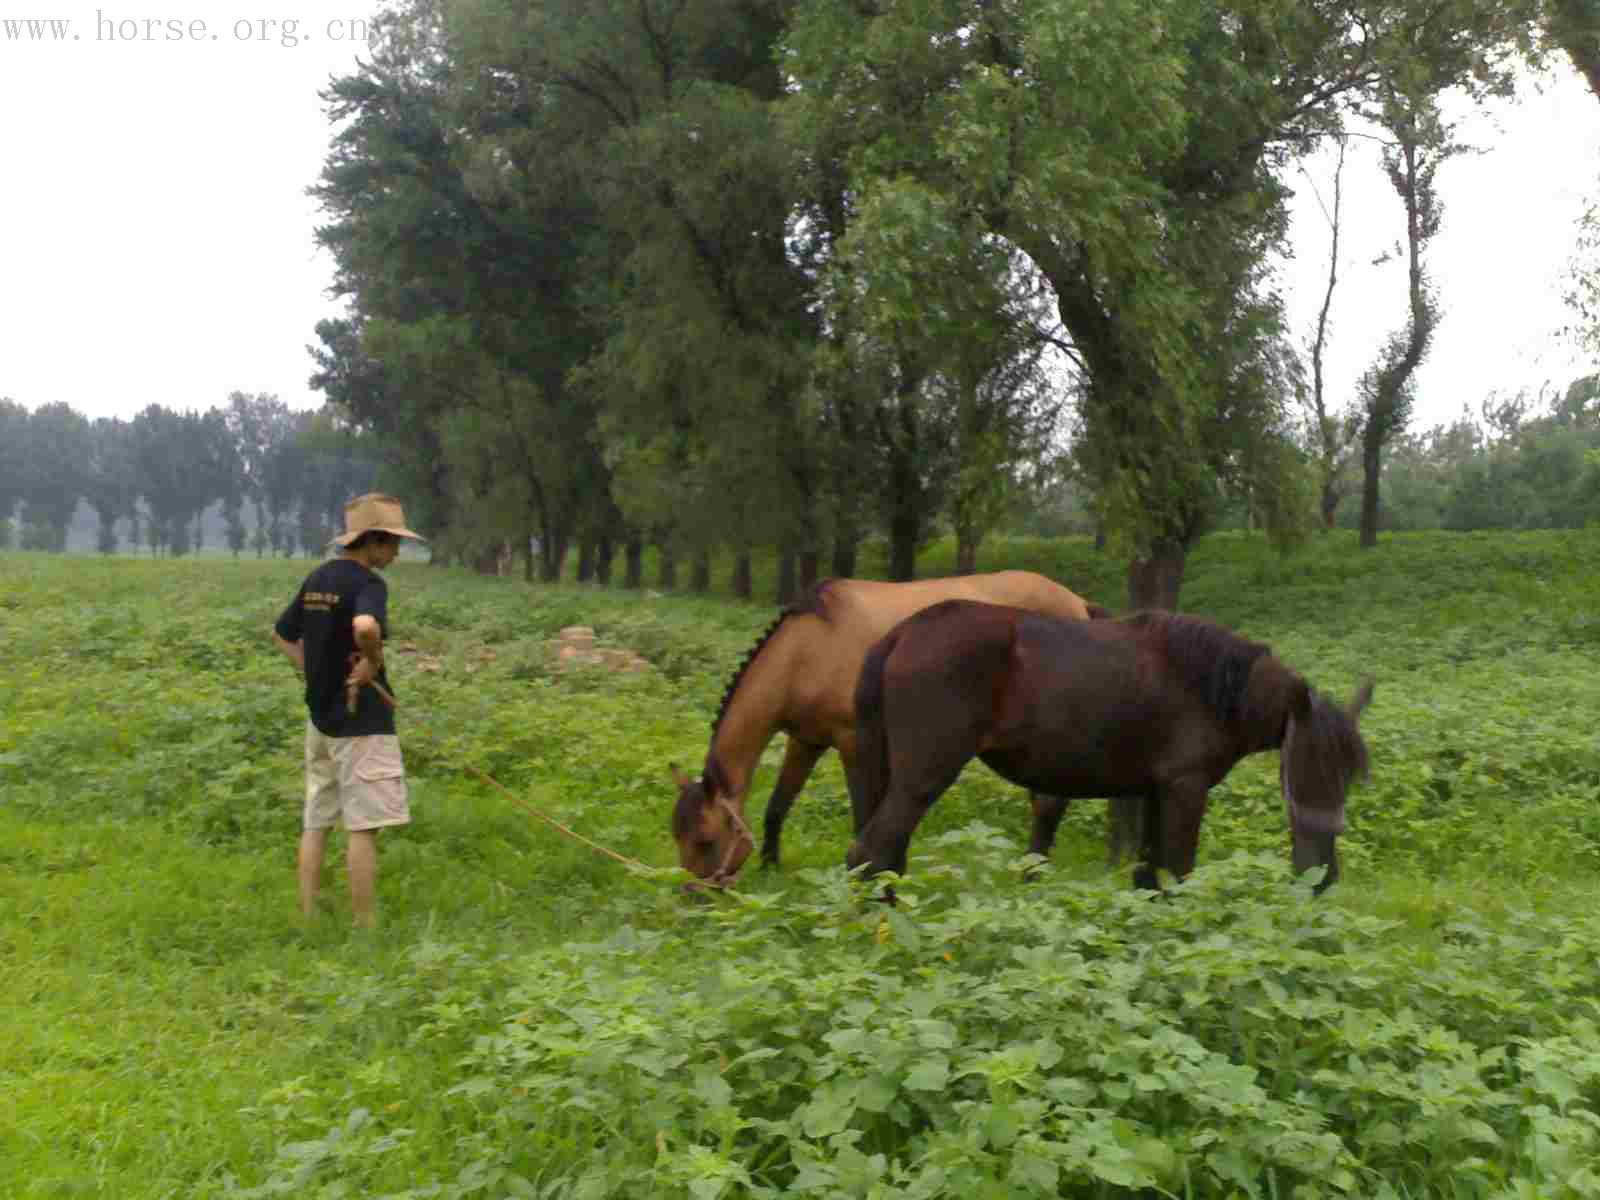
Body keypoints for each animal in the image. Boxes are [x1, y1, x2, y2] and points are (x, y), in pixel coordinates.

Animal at [668, 572, 1107, 883]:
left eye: (706, 840)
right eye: (677, 836)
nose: (694, 896)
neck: (807, 650)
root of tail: (1078, 603)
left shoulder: (851, 742)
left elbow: (863, 817)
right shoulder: (805, 740)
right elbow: (778, 806)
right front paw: (770, 868)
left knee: (1048, 803)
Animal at [844, 601, 1369, 896]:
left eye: (1348, 774)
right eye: (1309, 764)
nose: (1324, 877)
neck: (1212, 686)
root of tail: (903, 633)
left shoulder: (1156, 791)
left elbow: (1148, 876)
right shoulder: (1186, 789)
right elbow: (1180, 871)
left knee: (885, 856)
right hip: (924, 777)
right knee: (870, 854)